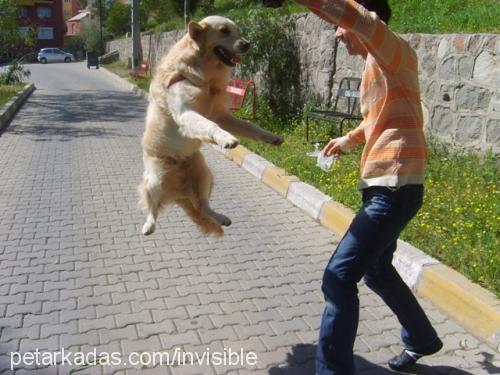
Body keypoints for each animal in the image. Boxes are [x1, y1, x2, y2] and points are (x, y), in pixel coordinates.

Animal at [139, 16, 284, 238]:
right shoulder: (186, 113)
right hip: (155, 179)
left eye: (237, 31)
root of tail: (179, 190)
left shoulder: (222, 115)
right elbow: (210, 125)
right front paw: (227, 139)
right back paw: (149, 225)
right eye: (224, 31)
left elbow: (248, 125)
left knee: (203, 206)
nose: (247, 44)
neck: (201, 73)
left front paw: (271, 137)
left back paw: (221, 218)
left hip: (204, 174)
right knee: (153, 207)